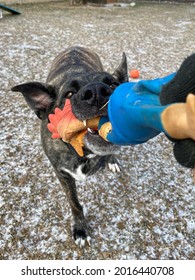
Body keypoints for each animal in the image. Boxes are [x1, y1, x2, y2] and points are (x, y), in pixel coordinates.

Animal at [11, 46, 129, 247]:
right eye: (68, 94)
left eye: (113, 85)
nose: (97, 92)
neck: (83, 153)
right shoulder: (63, 175)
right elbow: (75, 204)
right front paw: (80, 229)